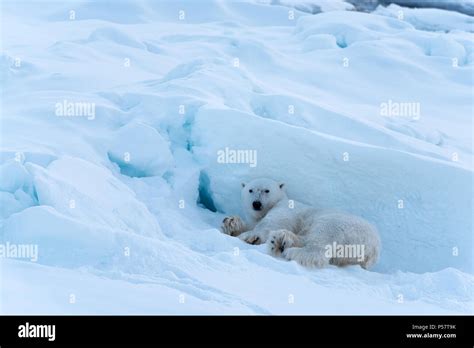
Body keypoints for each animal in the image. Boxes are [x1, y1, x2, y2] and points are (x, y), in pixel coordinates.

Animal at [222, 178, 382, 270]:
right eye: (250, 190)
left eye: (266, 190)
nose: (256, 203)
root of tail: (373, 248)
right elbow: (250, 223)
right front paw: (230, 223)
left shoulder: (285, 209)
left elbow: (270, 223)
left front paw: (250, 236)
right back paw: (281, 240)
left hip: (338, 224)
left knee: (320, 241)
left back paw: (289, 250)